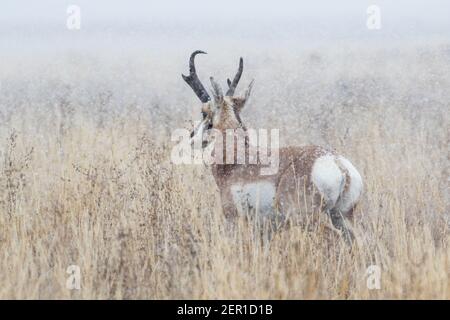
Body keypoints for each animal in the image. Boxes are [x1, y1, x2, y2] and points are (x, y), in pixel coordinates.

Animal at [182, 50, 362, 242]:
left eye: (204, 113)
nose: (192, 137)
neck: (237, 159)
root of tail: (339, 164)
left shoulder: (233, 219)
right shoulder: (266, 231)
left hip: (309, 220)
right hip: (342, 217)